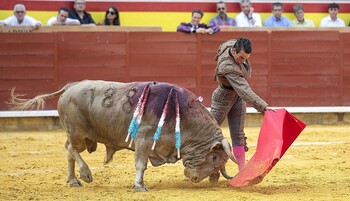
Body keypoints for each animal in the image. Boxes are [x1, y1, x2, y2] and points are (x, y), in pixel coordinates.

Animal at [8, 80, 238, 192]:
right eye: (214, 157)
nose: (195, 179)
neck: (182, 115)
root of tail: (70, 86)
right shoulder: (144, 140)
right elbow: (140, 164)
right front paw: (139, 186)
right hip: (78, 133)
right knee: (71, 149)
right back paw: (85, 174)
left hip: (80, 136)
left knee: (69, 152)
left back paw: (73, 180)